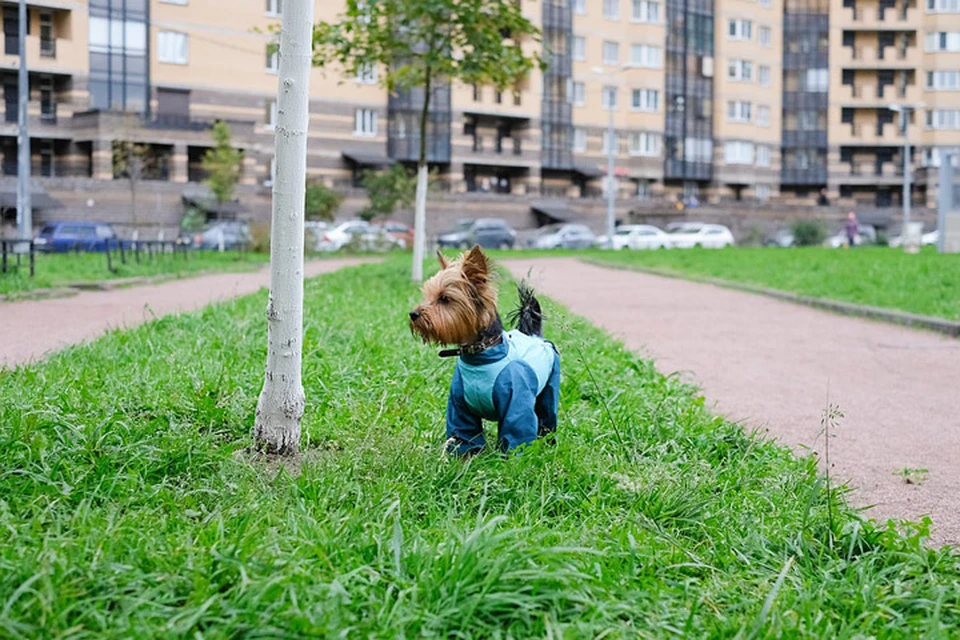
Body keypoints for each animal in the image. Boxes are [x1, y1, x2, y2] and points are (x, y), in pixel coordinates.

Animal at [406, 244, 560, 456]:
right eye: (427, 295)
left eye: (444, 299)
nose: (413, 314)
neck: (479, 356)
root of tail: (534, 334)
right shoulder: (459, 406)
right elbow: (464, 433)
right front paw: (466, 457)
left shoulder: (516, 403)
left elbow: (516, 428)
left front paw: (511, 459)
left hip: (550, 386)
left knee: (547, 414)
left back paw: (547, 443)